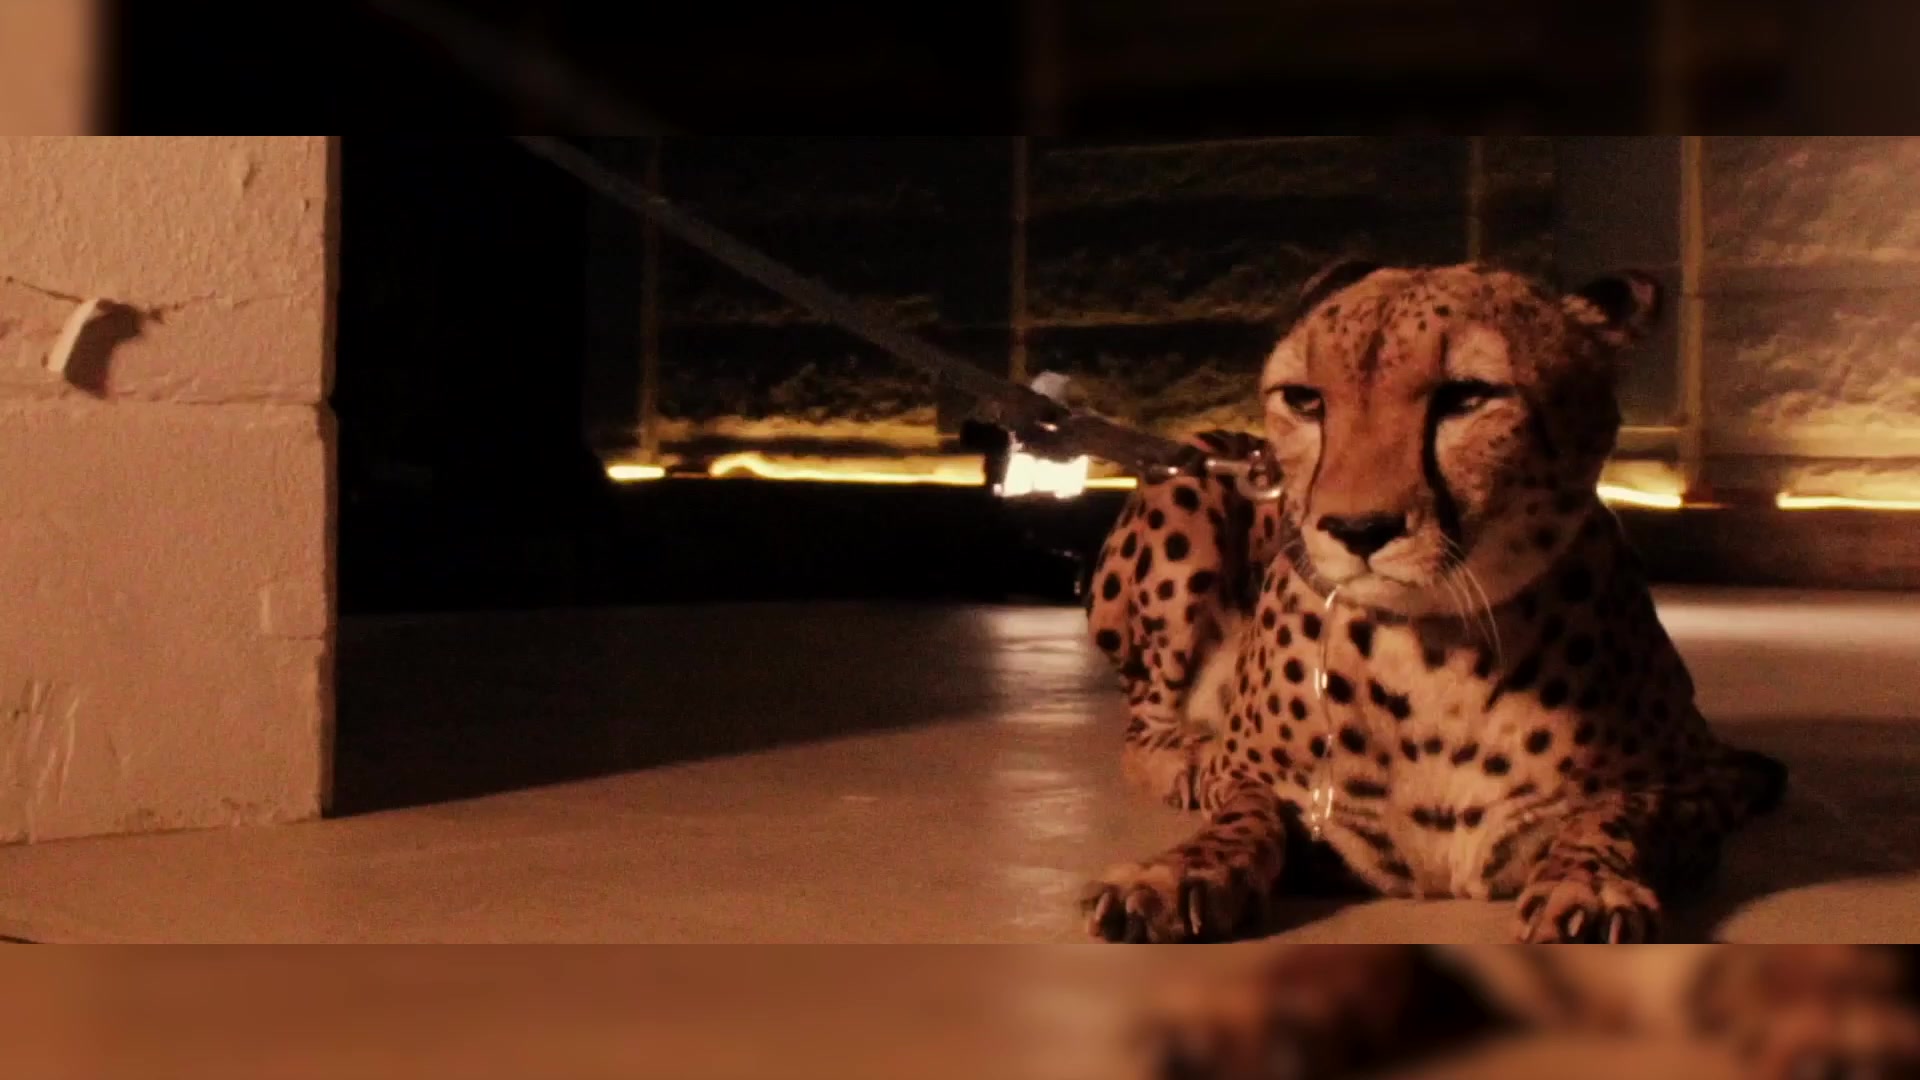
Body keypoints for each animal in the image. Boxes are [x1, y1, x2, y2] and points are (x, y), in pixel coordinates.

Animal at [1081, 259, 1789, 945]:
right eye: (1305, 400)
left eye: (1467, 396)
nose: (1359, 529)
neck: (1434, 644)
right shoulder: (1252, 778)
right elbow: (1241, 813)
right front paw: (1175, 872)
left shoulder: (1689, 786)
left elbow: (1615, 814)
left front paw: (1588, 884)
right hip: (1187, 483)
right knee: (1142, 730)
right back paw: (1184, 760)